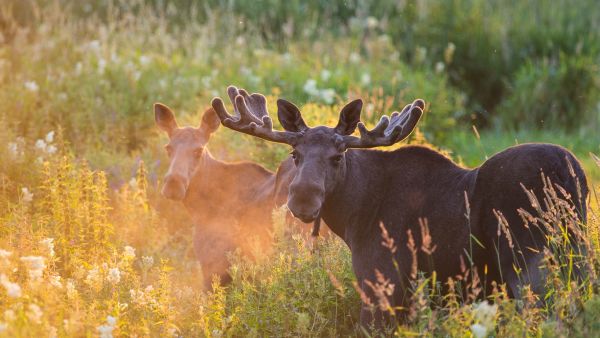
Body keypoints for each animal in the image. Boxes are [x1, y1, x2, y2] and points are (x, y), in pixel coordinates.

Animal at [212, 86, 592, 328]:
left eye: (338, 156)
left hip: (530, 265)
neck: (354, 216)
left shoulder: (382, 282)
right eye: (295, 153)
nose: (303, 199)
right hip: (577, 257)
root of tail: (573, 173)